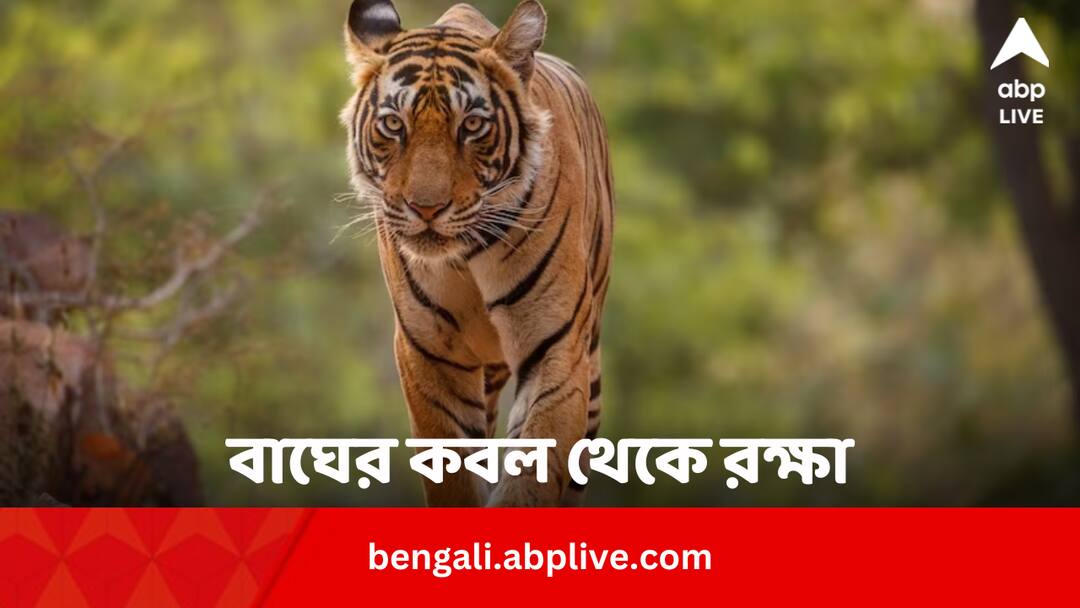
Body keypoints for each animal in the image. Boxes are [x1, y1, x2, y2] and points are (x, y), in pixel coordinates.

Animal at [340, 0, 613, 506]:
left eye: (471, 125)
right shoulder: (430, 356)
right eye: (394, 124)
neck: (466, 256)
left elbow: (532, 476)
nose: (426, 208)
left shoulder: (557, 349)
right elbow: (453, 476)